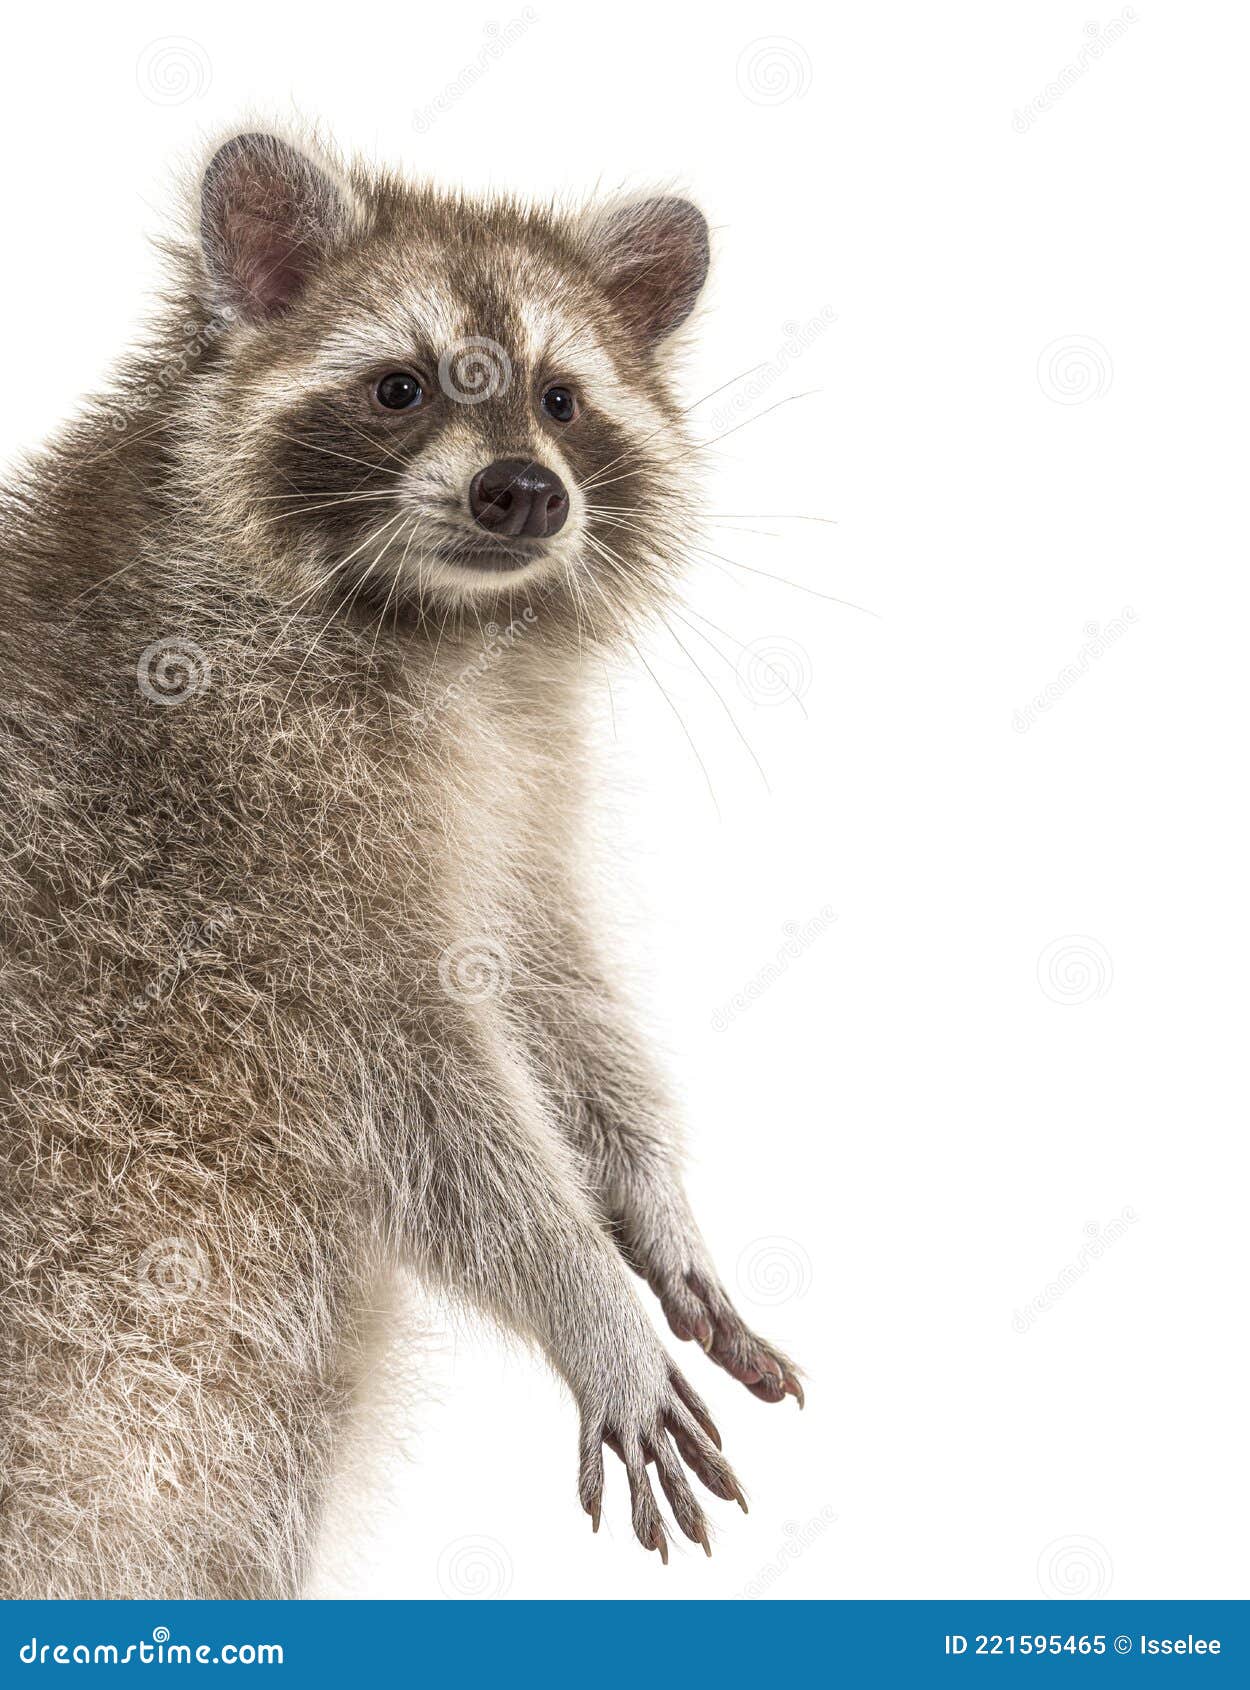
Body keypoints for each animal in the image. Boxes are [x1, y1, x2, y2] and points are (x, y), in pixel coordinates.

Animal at [0, 127, 802, 1599]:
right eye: (397, 387)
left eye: (561, 400)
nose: (523, 492)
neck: (455, 632)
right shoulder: (244, 838)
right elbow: (428, 1094)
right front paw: (579, 1286)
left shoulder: (517, 792)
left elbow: (545, 982)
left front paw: (651, 1195)